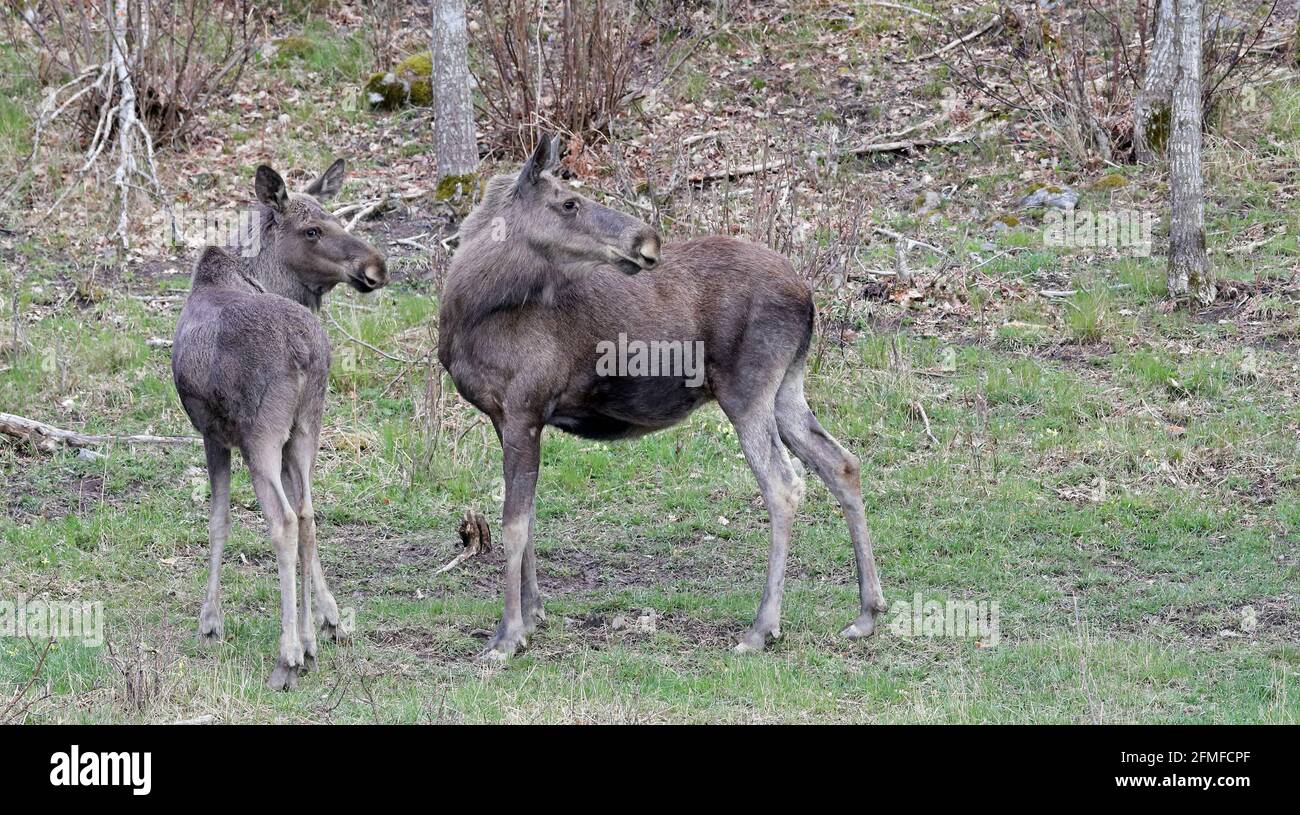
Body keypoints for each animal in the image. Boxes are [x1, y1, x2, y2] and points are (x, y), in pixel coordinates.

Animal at [170, 162, 387, 691]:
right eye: (314, 230)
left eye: (336, 220)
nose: (376, 266)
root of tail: (306, 352)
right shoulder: (285, 439)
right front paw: (328, 620)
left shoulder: (214, 436)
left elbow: (219, 520)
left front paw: (210, 621)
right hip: (307, 426)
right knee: (307, 515)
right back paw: (305, 645)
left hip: (261, 435)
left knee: (284, 521)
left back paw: (286, 657)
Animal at [441, 132, 889, 657]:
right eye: (569, 203)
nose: (647, 240)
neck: (468, 314)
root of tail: (809, 298)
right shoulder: (506, 416)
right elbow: (527, 519)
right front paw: (533, 616)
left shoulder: (525, 407)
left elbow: (514, 523)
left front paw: (508, 635)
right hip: (787, 386)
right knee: (842, 463)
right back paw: (867, 612)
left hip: (746, 388)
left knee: (783, 485)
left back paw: (762, 627)